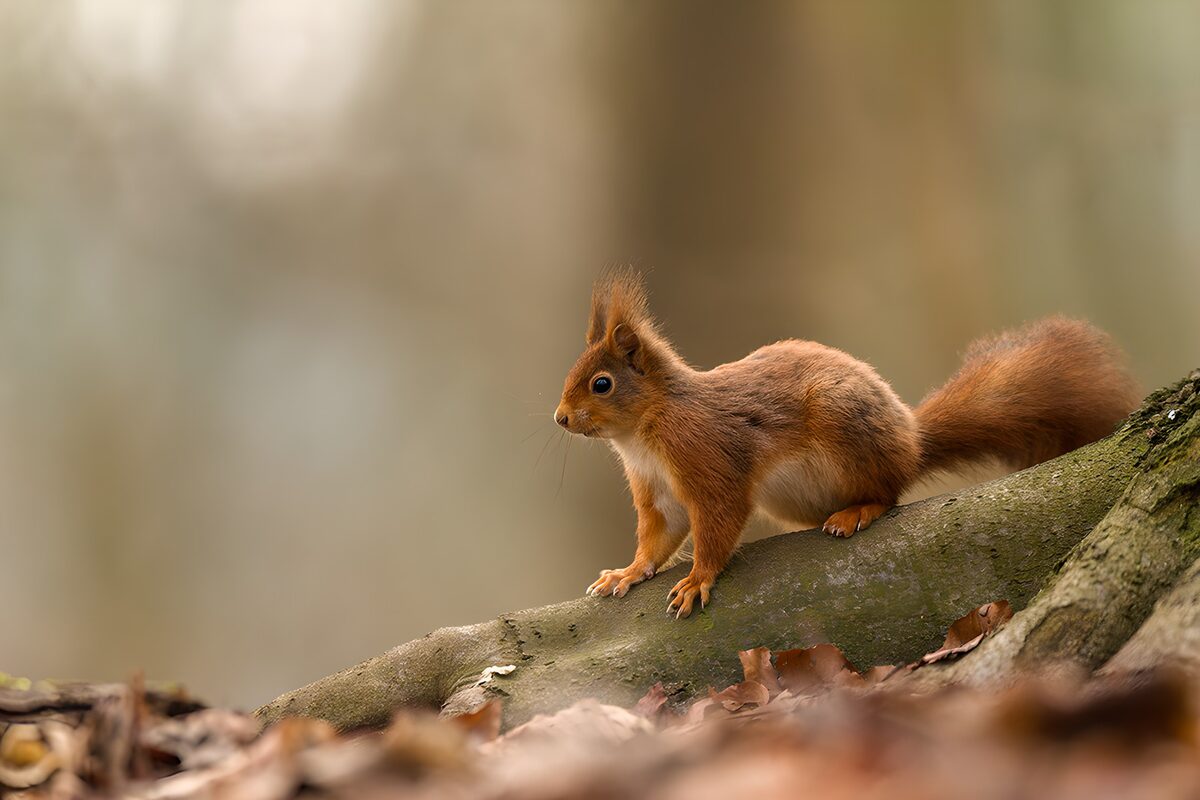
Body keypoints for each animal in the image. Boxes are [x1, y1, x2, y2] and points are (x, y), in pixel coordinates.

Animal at [554, 270, 1141, 618]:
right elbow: (657, 539)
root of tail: (911, 442)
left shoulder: (709, 458)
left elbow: (717, 522)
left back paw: (859, 510)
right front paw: (627, 573)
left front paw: (698, 578)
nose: (559, 419)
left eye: (601, 384)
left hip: (848, 429)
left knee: (889, 491)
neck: (643, 434)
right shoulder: (656, 492)